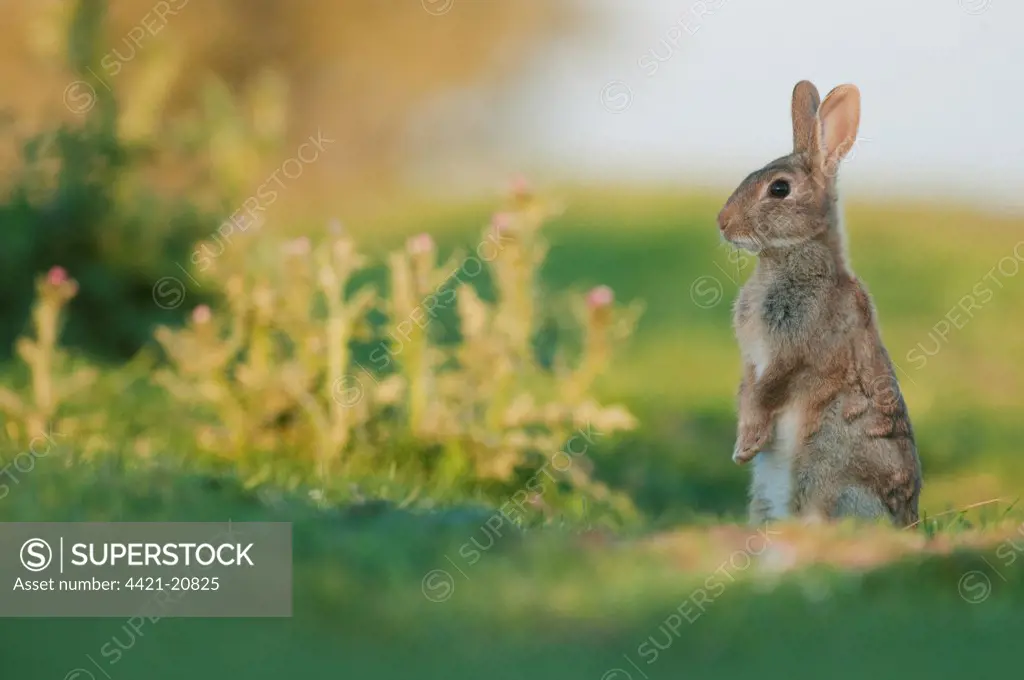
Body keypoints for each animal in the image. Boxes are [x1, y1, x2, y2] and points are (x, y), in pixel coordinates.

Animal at [716, 78, 925, 524]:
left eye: (779, 188)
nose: (722, 223)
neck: (789, 258)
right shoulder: (752, 359)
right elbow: (748, 390)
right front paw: (742, 450)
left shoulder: (793, 354)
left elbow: (767, 391)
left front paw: (746, 447)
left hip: (824, 471)